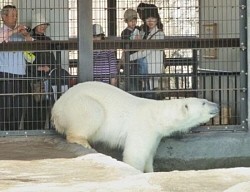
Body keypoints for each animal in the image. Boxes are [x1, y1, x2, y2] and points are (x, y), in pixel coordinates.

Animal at [51, 81, 219, 172]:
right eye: (204, 102)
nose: (216, 105)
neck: (158, 115)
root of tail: (56, 108)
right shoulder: (143, 126)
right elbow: (135, 153)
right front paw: (136, 170)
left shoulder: (156, 135)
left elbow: (149, 154)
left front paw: (150, 170)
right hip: (79, 104)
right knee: (93, 112)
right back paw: (82, 141)